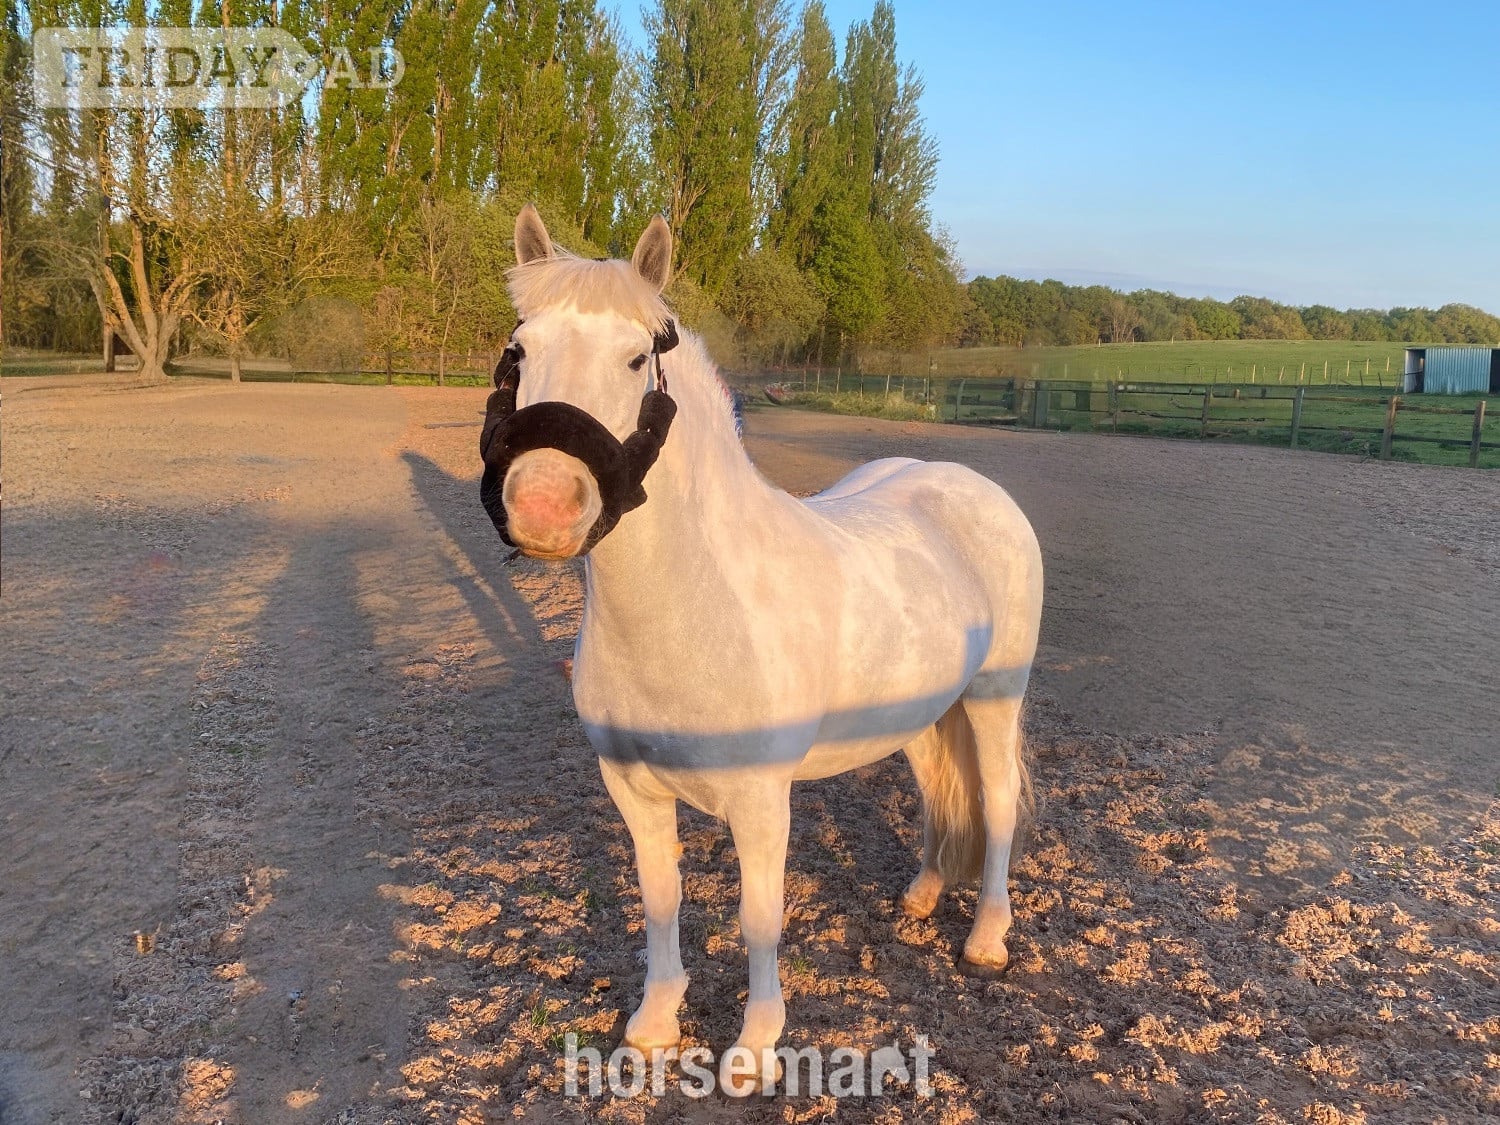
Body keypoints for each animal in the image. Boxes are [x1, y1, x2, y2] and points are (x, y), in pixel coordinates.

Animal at [481, 204, 1044, 1095]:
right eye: (521, 350)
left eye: (635, 358)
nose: (542, 505)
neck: (698, 605)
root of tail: (971, 488)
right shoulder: (632, 788)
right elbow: (661, 896)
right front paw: (653, 1025)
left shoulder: (760, 800)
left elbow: (757, 917)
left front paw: (753, 1047)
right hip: (925, 710)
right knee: (935, 791)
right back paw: (921, 896)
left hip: (995, 696)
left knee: (995, 803)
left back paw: (987, 937)